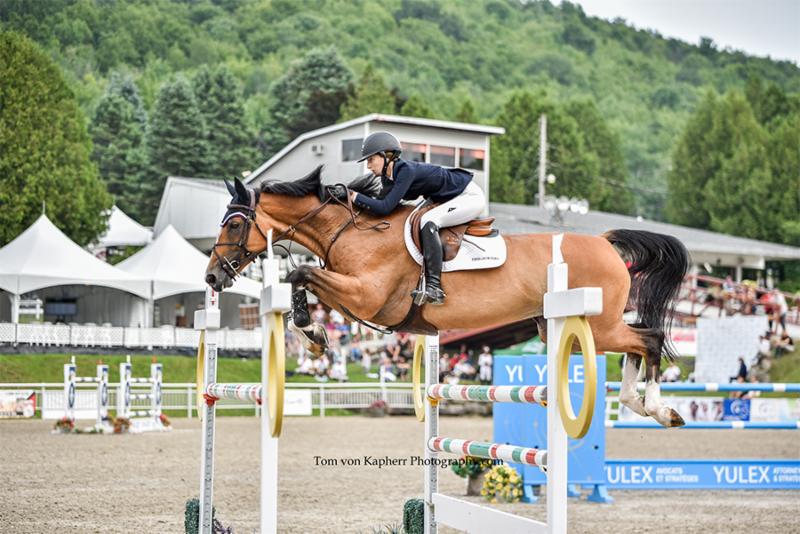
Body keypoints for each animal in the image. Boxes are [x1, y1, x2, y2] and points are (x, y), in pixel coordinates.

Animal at [205, 166, 690, 427]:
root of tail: (606, 243)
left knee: (647, 340)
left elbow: (301, 272)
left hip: (597, 325)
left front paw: (312, 333)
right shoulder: (353, 295)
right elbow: (302, 279)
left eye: (234, 223)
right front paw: (314, 335)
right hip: (569, 325)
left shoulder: (366, 295)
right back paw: (644, 406)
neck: (351, 232)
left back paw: (656, 407)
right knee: (639, 343)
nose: (211, 277)